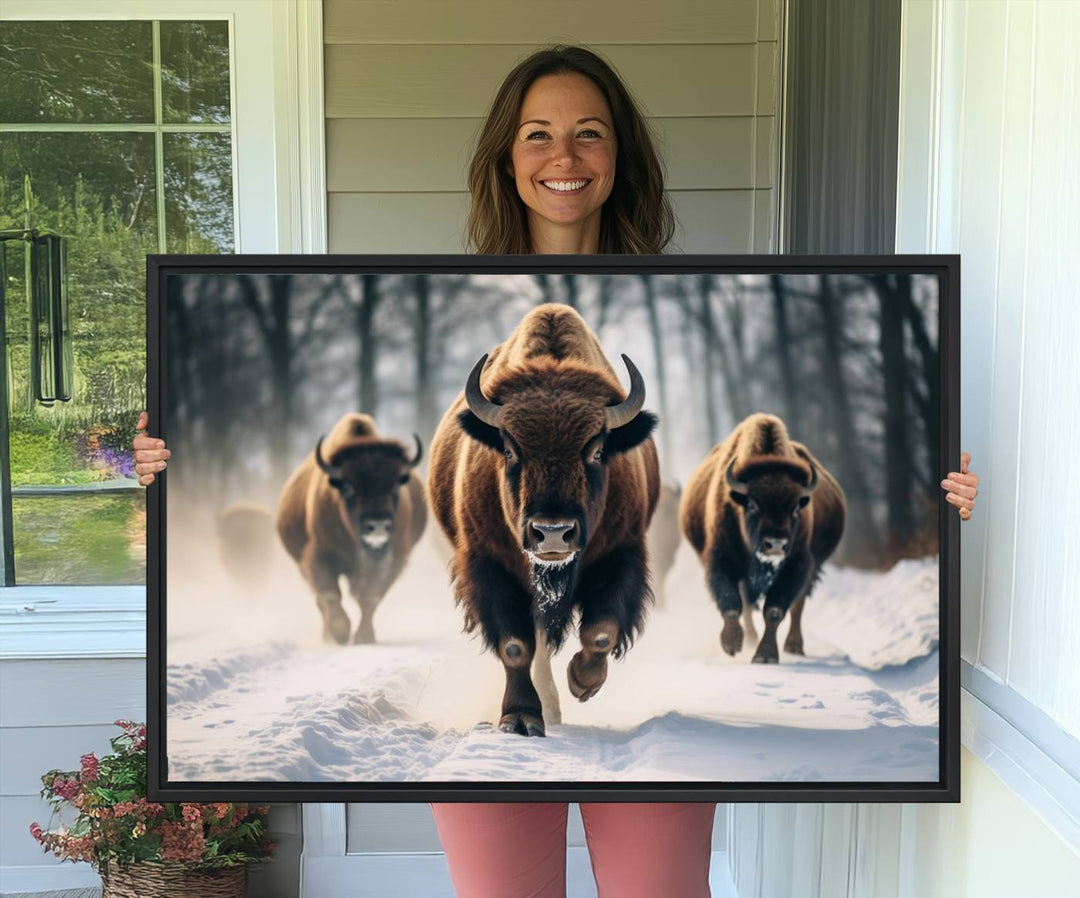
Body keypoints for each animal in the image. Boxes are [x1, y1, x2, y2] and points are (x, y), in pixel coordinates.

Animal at [278, 414, 425, 648]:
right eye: (348, 487)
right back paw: (328, 635)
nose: (377, 525)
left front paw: (365, 637)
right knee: (321, 600)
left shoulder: (393, 559)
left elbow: (371, 597)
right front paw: (341, 632)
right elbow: (330, 594)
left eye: (395, 485)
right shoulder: (319, 556)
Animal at [429, 304, 656, 739]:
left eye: (597, 450)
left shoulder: (622, 553)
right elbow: (516, 646)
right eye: (508, 449)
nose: (553, 533)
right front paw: (521, 718)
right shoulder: (489, 564)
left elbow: (601, 631)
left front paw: (582, 682)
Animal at [682, 412, 842, 661]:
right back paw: (749, 639)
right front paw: (731, 644)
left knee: (797, 605)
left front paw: (765, 655)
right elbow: (732, 603)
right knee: (748, 603)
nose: (775, 544)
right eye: (753, 505)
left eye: (796, 508)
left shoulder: (797, 564)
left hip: (812, 567)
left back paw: (794, 646)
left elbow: (775, 610)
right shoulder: (722, 559)